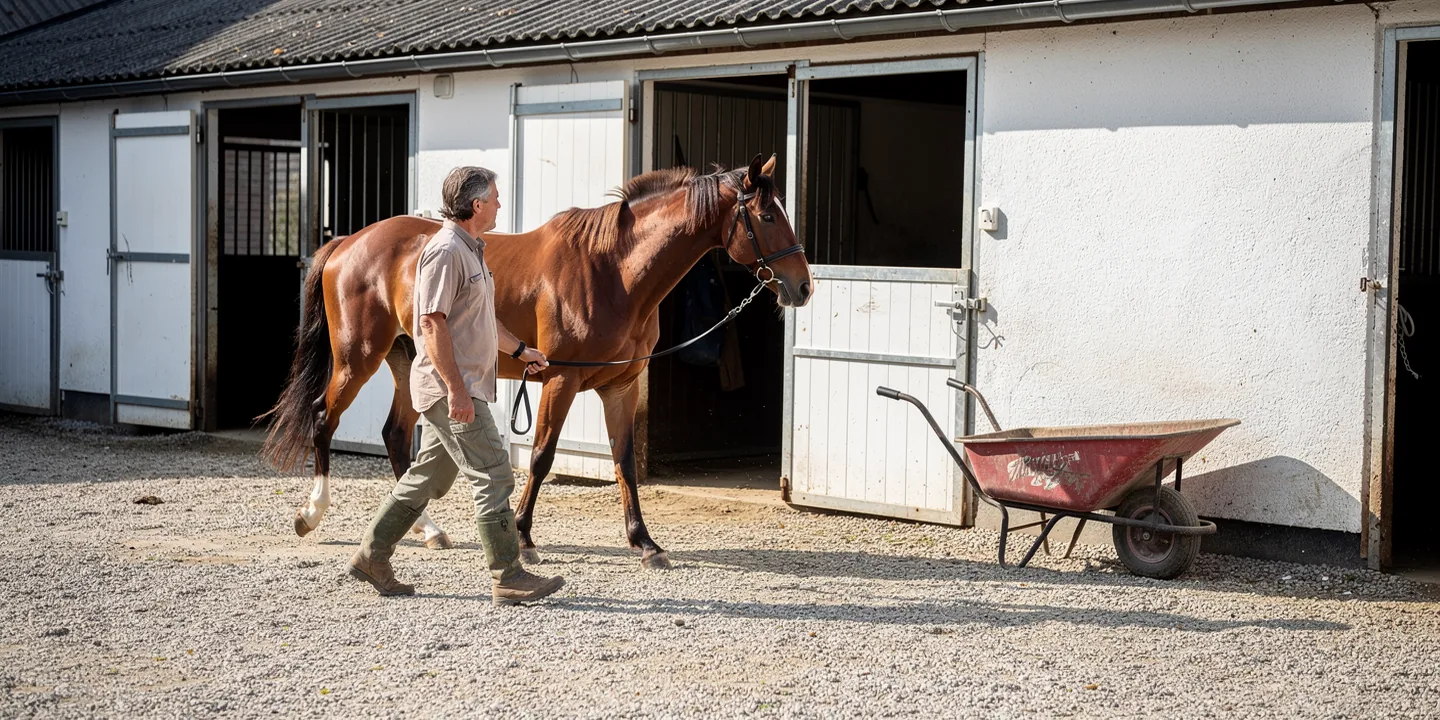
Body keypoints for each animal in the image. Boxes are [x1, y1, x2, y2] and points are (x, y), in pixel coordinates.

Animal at [261, 154, 813, 568]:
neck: (613, 269)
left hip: (409, 362)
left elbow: (624, 462)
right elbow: (543, 455)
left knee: (395, 436)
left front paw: (644, 542)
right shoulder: (559, 380)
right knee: (323, 418)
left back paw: (430, 531)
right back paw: (312, 514)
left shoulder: (621, 387)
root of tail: (349, 242)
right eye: (767, 217)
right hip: (359, 358)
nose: (804, 287)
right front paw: (524, 537)